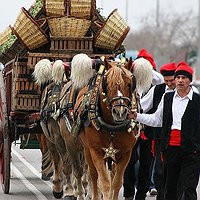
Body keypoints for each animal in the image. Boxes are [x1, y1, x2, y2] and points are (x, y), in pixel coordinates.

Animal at [73, 57, 152, 198]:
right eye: (107, 84)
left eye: (129, 84)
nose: (119, 112)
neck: (112, 128)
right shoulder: (96, 151)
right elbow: (104, 182)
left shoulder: (125, 153)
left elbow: (116, 183)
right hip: (87, 149)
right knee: (93, 175)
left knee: (112, 174)